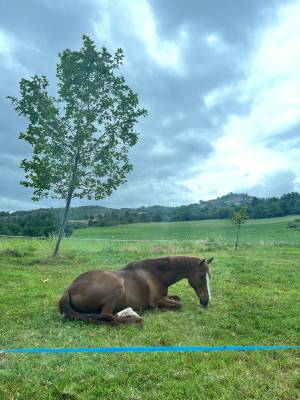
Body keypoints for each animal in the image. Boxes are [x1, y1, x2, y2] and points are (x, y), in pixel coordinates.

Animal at [58, 256, 213, 324]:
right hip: (118, 286)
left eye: (209, 276)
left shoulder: (165, 296)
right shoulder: (157, 300)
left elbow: (177, 298)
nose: (205, 301)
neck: (156, 273)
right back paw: (134, 317)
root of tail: (68, 290)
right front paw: (157, 310)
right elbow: (178, 305)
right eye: (201, 276)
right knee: (108, 316)